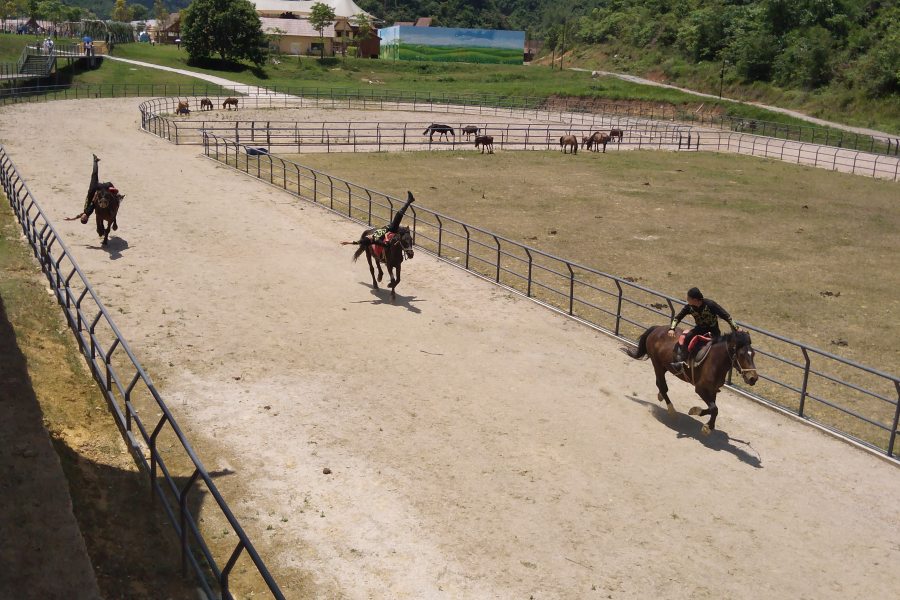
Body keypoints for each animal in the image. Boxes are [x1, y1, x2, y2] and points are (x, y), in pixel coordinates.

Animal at [620, 326, 760, 434]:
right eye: (741, 354)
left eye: (753, 354)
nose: (753, 378)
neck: (715, 360)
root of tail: (657, 329)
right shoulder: (700, 389)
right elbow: (714, 408)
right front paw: (707, 428)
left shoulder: (712, 390)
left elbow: (712, 408)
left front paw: (696, 411)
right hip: (657, 364)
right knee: (663, 386)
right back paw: (672, 411)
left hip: (665, 366)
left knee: (659, 384)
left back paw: (661, 396)